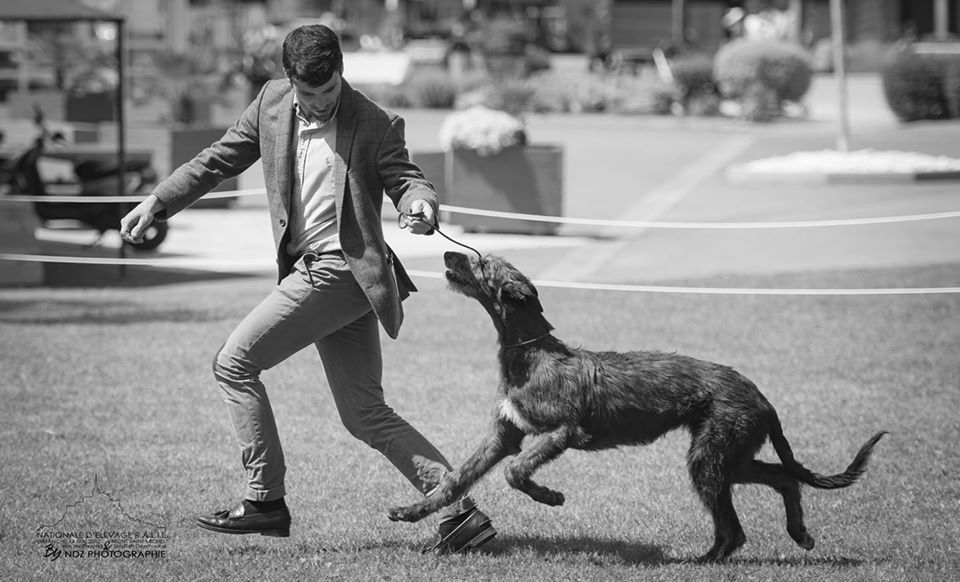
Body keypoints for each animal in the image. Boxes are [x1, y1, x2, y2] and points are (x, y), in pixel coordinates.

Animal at [388, 253, 884, 564]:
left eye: (482, 263)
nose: (447, 254)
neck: (531, 352)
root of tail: (762, 397)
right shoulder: (504, 434)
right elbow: (455, 480)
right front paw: (411, 512)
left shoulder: (564, 432)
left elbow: (515, 471)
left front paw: (550, 496)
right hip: (731, 455)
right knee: (782, 478)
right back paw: (796, 533)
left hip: (711, 455)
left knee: (735, 527)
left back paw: (701, 562)